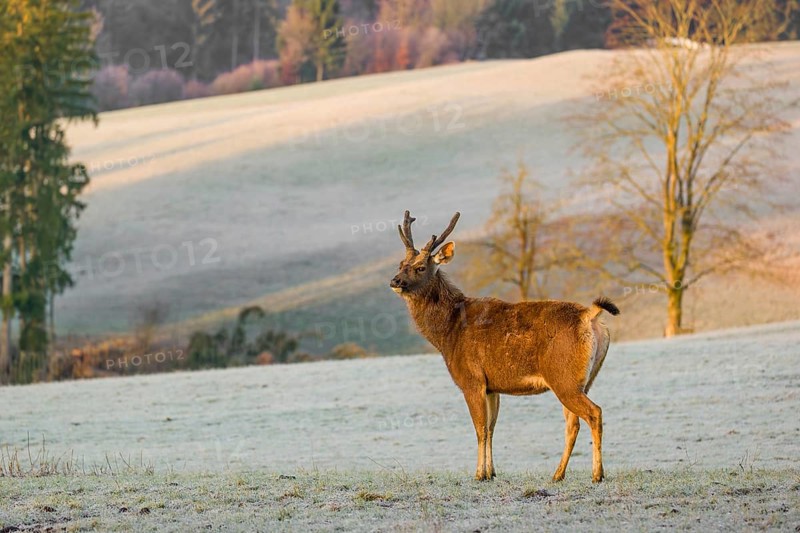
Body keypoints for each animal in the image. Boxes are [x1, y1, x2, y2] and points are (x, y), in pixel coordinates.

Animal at [390, 210, 619, 483]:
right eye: (400, 264)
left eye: (420, 267)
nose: (395, 281)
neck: (448, 334)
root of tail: (591, 316)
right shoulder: (492, 386)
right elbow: (491, 429)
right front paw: (491, 472)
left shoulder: (472, 379)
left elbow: (479, 428)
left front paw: (479, 474)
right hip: (584, 378)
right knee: (573, 422)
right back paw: (558, 474)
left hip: (563, 376)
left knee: (594, 413)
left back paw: (597, 474)